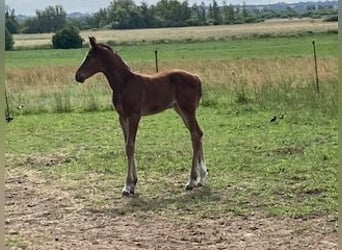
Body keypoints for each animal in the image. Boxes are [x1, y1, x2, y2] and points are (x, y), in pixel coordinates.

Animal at [75, 36, 207, 195]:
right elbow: (128, 146)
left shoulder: (134, 116)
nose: (78, 76)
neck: (124, 84)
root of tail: (196, 77)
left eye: (90, 57)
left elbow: (130, 146)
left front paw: (128, 186)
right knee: (198, 133)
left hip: (188, 110)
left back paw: (191, 181)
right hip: (180, 110)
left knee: (194, 137)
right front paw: (132, 184)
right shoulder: (122, 117)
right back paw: (201, 178)